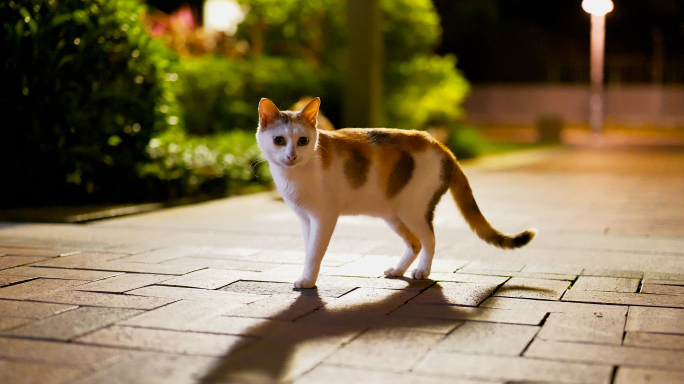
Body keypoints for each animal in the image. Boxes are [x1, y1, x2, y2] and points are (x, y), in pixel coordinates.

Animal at [254, 97, 536, 286]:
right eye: (279, 140)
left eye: (303, 141)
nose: (291, 155)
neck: (294, 176)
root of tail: (442, 146)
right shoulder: (306, 219)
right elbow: (308, 248)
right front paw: (306, 275)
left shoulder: (324, 217)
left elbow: (315, 252)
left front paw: (308, 281)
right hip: (393, 214)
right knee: (414, 243)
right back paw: (398, 271)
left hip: (414, 210)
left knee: (429, 240)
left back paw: (422, 272)